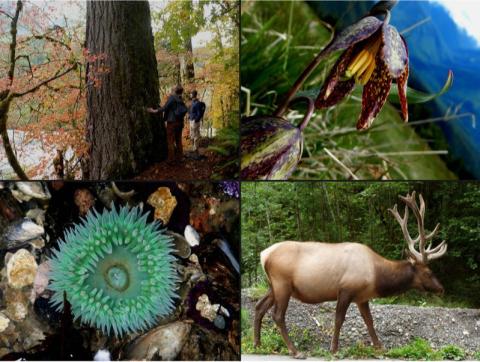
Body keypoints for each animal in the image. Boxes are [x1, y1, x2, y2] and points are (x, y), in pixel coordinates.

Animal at [253, 192, 448, 360]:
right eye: (429, 272)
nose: (441, 288)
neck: (376, 276)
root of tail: (264, 255)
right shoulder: (346, 289)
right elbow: (339, 319)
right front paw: (334, 349)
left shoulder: (362, 297)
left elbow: (369, 321)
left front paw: (380, 347)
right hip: (282, 283)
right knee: (278, 315)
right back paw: (295, 351)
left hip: (273, 285)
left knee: (259, 306)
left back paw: (257, 344)